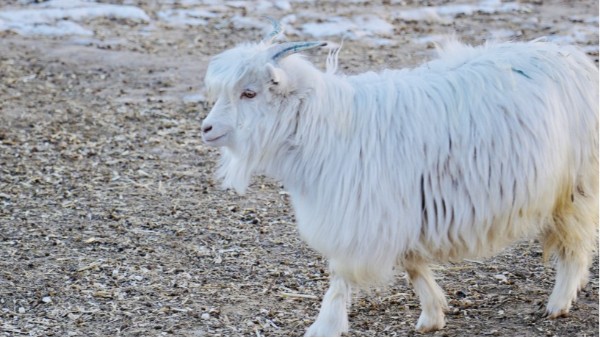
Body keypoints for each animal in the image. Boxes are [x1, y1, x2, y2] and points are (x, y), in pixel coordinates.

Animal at [202, 21, 600, 336]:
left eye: (249, 93)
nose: (206, 129)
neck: (327, 126)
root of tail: (576, 60)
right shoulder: (402, 213)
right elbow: (412, 265)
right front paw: (432, 315)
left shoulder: (361, 217)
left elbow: (341, 275)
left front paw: (324, 325)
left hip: (574, 189)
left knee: (576, 247)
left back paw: (558, 304)